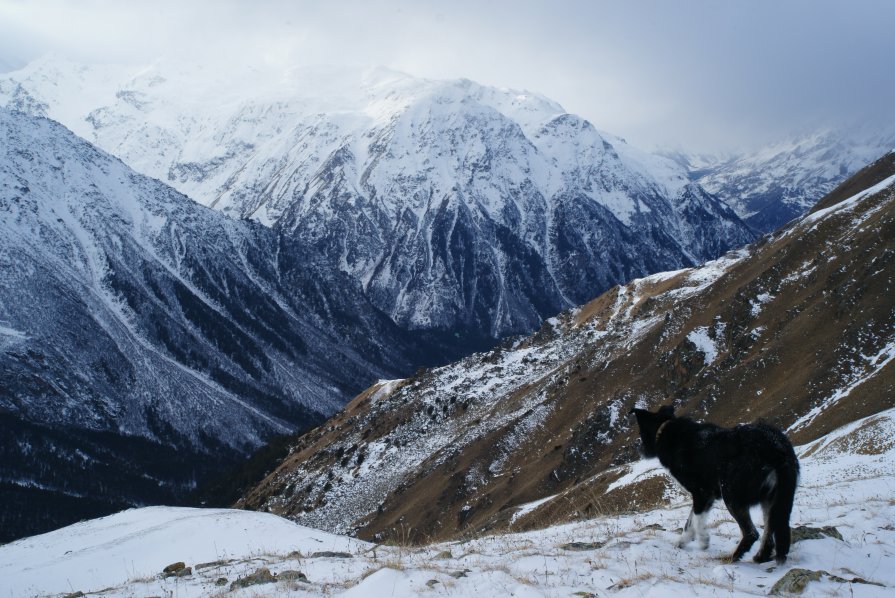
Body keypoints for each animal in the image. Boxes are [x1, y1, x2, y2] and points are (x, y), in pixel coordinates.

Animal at [628, 406, 800, 564]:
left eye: (640, 434)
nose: (637, 448)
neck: (666, 430)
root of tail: (775, 447)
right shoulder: (707, 496)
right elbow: (689, 521)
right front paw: (682, 541)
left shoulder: (702, 492)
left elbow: (696, 520)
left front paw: (703, 540)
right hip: (773, 498)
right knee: (770, 530)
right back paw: (760, 557)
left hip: (731, 492)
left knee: (751, 533)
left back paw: (732, 558)